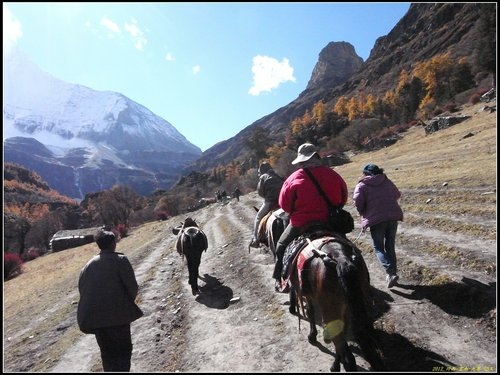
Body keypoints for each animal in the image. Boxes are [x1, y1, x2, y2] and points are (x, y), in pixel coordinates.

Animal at [284, 229, 384, 374]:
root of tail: (341, 259)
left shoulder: (309, 297)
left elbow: (310, 313)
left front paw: (312, 336)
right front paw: (335, 365)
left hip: (330, 311)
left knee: (348, 358)